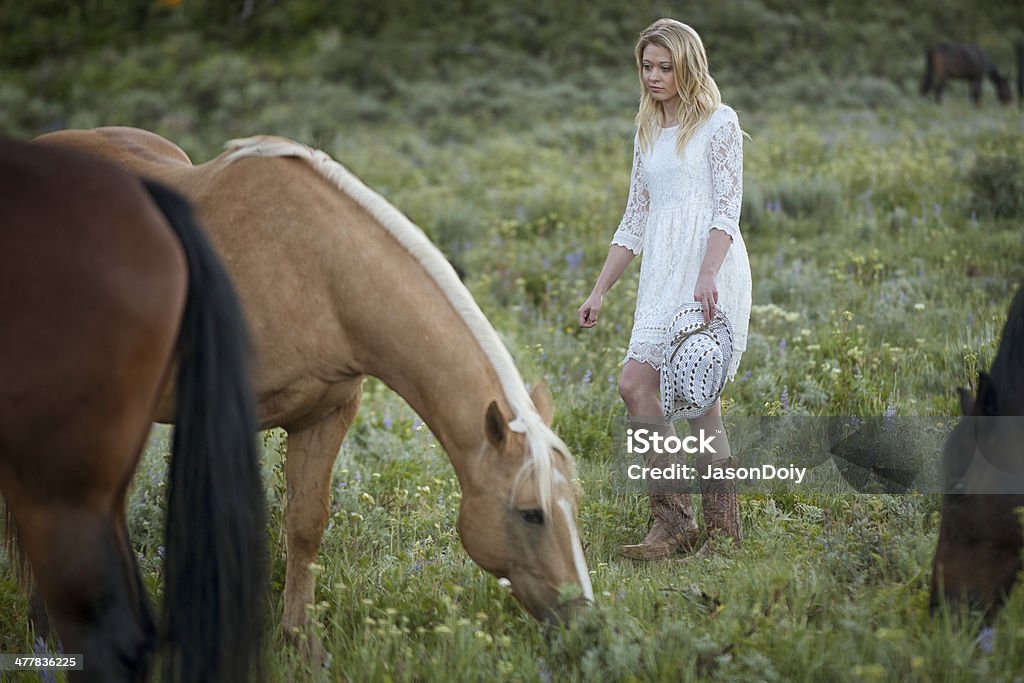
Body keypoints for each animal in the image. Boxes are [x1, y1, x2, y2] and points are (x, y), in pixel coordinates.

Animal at [34, 125, 593, 655]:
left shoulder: (326, 414)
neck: (318, 275)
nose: (582, 619)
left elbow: (305, 523)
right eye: (531, 514)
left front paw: (303, 641)